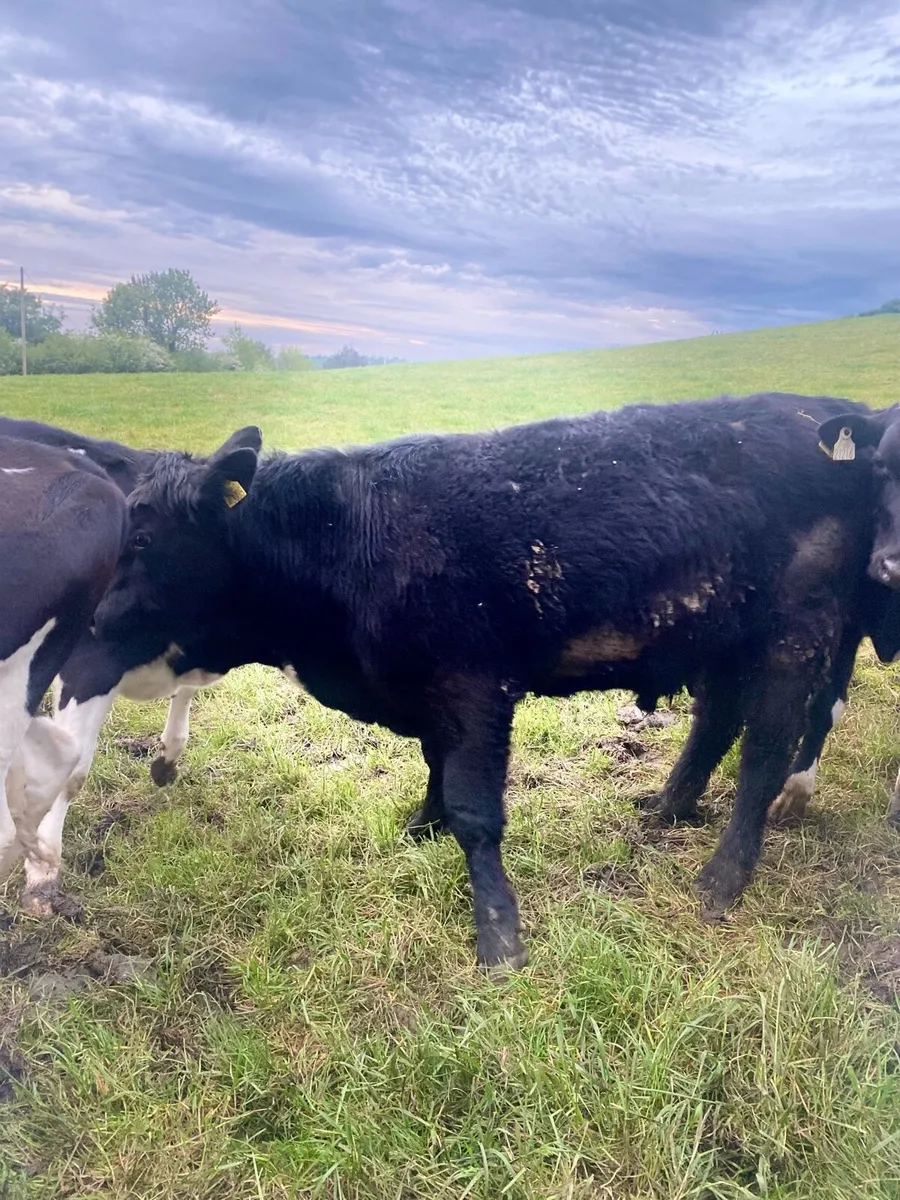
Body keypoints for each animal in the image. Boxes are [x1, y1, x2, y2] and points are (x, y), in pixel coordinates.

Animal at [92, 393, 888, 972]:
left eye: (143, 539)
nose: (97, 619)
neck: (348, 537)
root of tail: (826, 411)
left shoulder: (473, 688)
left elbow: (477, 813)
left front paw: (498, 934)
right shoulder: (428, 695)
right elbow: (434, 768)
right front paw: (421, 825)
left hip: (795, 636)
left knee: (766, 752)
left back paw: (722, 878)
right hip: (719, 638)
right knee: (716, 721)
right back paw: (666, 807)